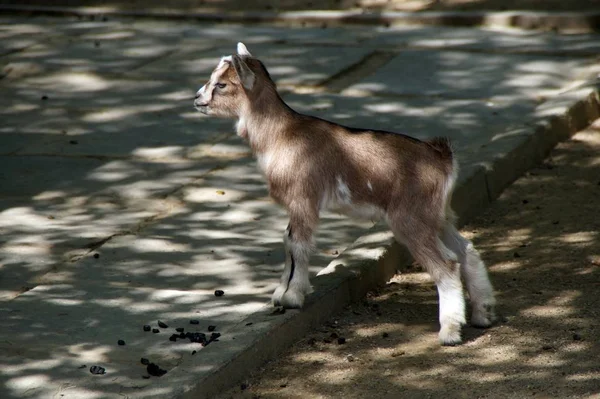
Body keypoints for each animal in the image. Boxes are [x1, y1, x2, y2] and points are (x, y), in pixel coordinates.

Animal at [193, 42, 496, 346]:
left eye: (221, 84)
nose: (196, 99)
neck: (280, 134)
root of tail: (443, 159)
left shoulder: (303, 199)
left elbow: (298, 244)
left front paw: (292, 297)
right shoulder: (297, 204)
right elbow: (288, 241)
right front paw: (280, 294)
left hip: (410, 218)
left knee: (447, 265)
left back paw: (450, 332)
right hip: (439, 216)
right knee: (466, 250)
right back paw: (482, 314)